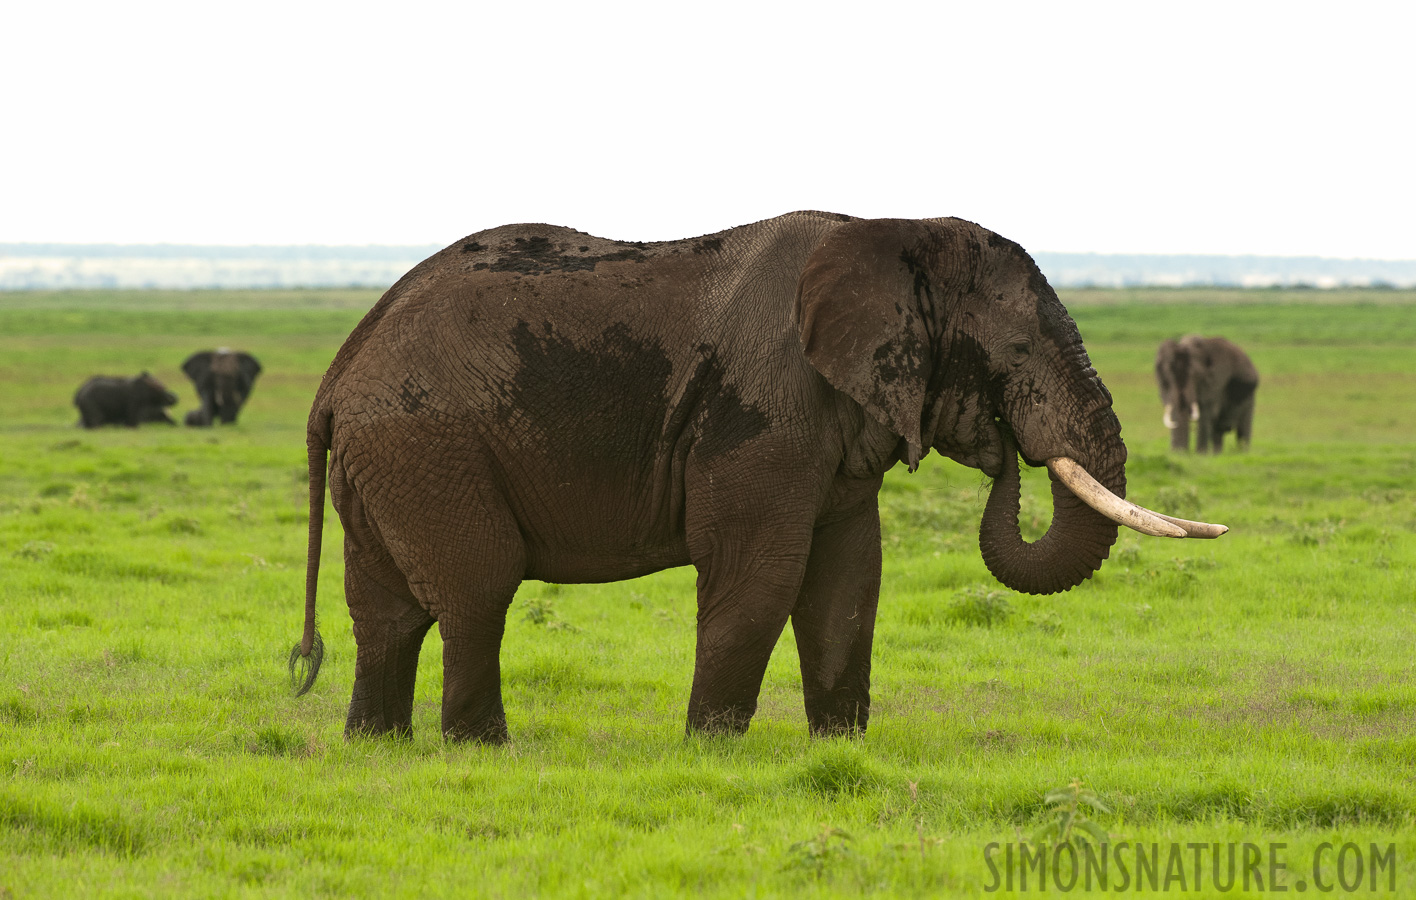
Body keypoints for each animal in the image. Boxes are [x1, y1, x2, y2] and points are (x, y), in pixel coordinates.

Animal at [290, 212, 1229, 747]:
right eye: (1020, 351)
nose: (1002, 452)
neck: (892, 232)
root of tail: (339, 369)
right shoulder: (766, 407)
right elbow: (763, 572)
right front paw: (711, 752)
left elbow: (850, 578)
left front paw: (841, 749)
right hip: (429, 442)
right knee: (478, 589)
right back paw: (483, 749)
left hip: (389, 458)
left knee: (387, 610)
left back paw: (375, 745)